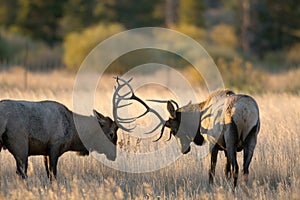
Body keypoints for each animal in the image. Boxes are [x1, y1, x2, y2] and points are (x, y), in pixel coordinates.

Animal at [112, 77, 260, 188]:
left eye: (173, 130)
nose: (184, 149)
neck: (200, 118)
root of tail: (245, 111)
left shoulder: (212, 143)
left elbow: (212, 170)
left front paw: (210, 187)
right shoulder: (222, 147)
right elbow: (226, 170)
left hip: (231, 139)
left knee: (236, 168)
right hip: (252, 138)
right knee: (245, 169)